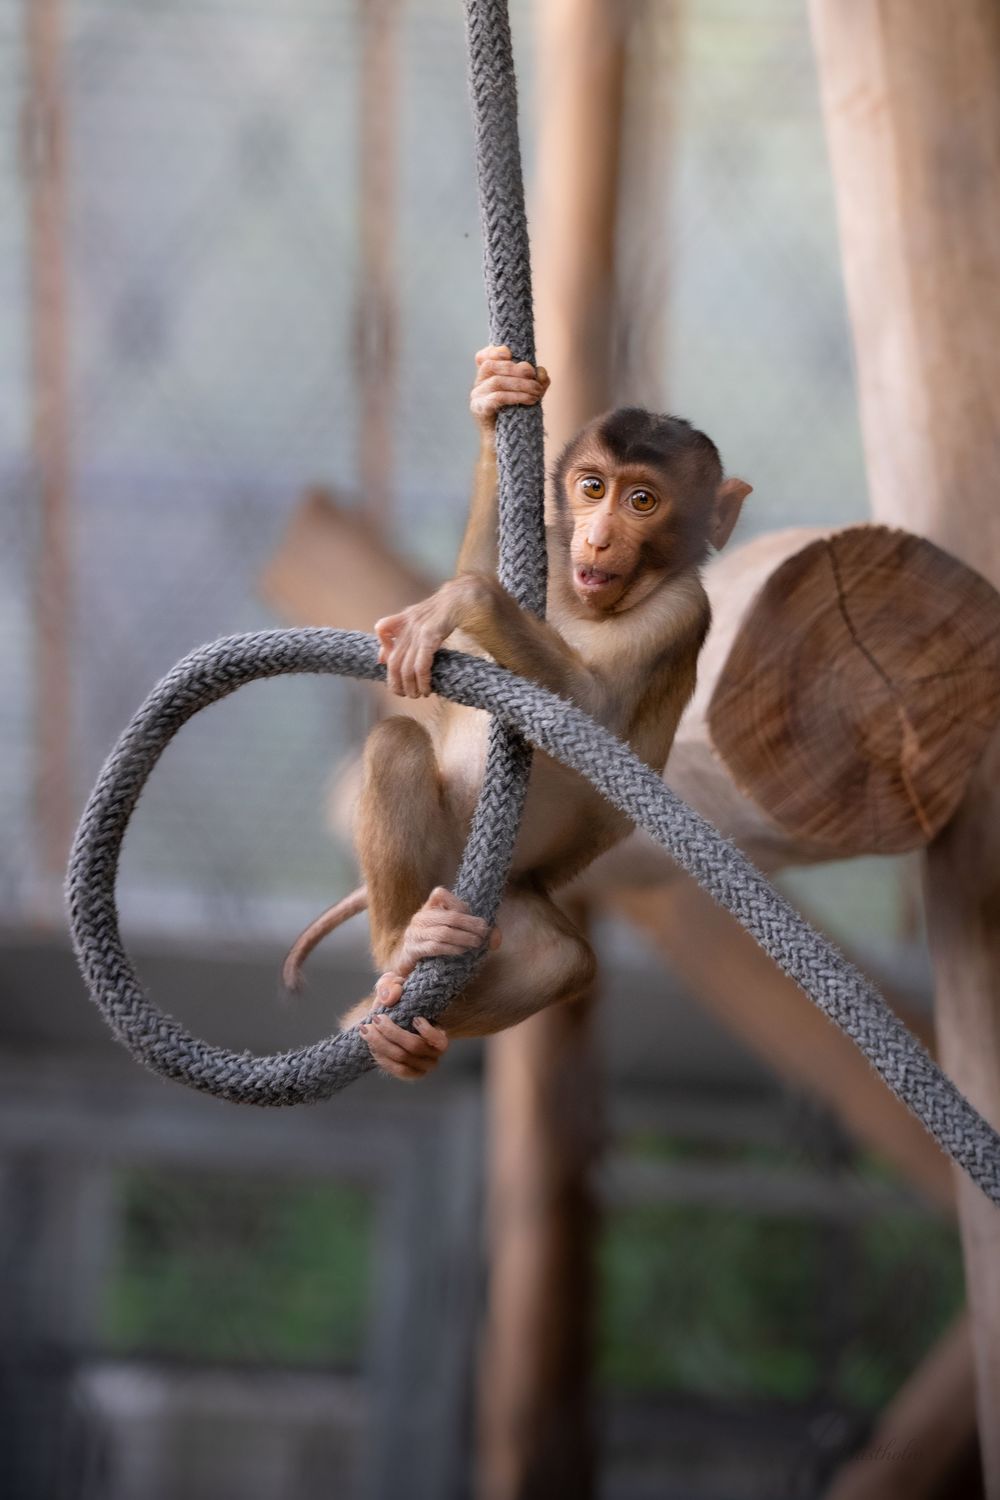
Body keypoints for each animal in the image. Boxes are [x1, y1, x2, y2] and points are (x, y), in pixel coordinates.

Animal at [284, 346, 751, 1079]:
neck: (590, 601)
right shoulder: (557, 551)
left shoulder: (681, 611)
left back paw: (405, 1034)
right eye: (592, 488)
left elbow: (592, 711)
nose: (598, 538)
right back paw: (401, 954)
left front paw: (464, 598)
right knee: (397, 744)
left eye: (641, 501)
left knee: (558, 960)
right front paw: (493, 398)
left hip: (509, 898)